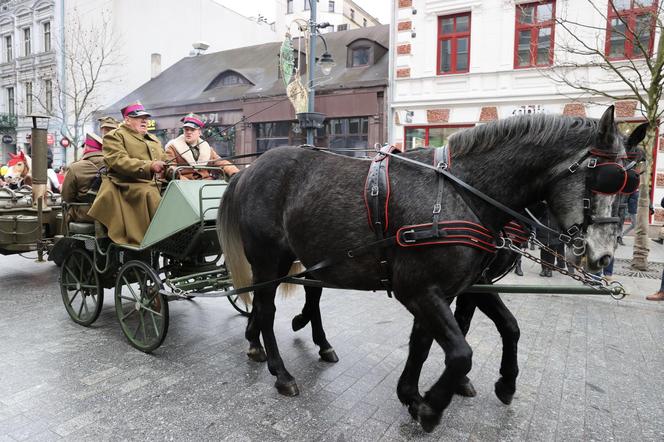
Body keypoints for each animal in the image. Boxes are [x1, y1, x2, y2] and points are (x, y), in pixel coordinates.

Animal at [218, 107, 644, 432]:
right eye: (604, 178)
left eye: (630, 184)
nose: (603, 257)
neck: (462, 193)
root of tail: (250, 170)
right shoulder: (422, 290)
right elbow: (459, 351)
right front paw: (432, 405)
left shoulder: (452, 287)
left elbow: (446, 340)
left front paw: (419, 393)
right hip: (268, 258)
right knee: (267, 308)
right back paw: (280, 371)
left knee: (291, 298)